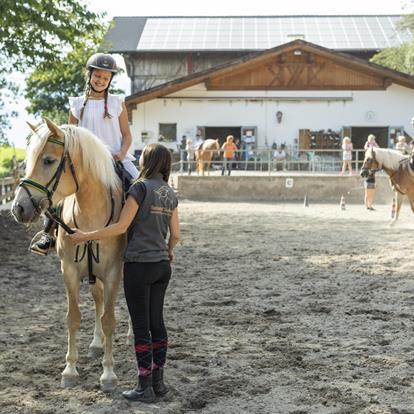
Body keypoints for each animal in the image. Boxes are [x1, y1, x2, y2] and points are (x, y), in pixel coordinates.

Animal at [11, 118, 124, 390]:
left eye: (48, 160)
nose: (18, 208)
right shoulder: (70, 271)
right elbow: (73, 317)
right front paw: (70, 370)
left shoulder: (113, 272)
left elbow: (110, 319)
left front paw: (108, 374)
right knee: (97, 300)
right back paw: (96, 344)